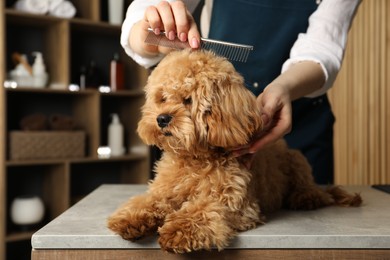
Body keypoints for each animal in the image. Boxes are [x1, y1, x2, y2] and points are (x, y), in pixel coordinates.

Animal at [107, 49, 362, 253]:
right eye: (162, 98)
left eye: (188, 99)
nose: (161, 119)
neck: (194, 159)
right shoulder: (164, 191)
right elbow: (149, 201)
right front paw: (130, 217)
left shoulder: (236, 205)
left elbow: (203, 209)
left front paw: (179, 229)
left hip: (298, 160)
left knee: (312, 190)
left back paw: (305, 197)